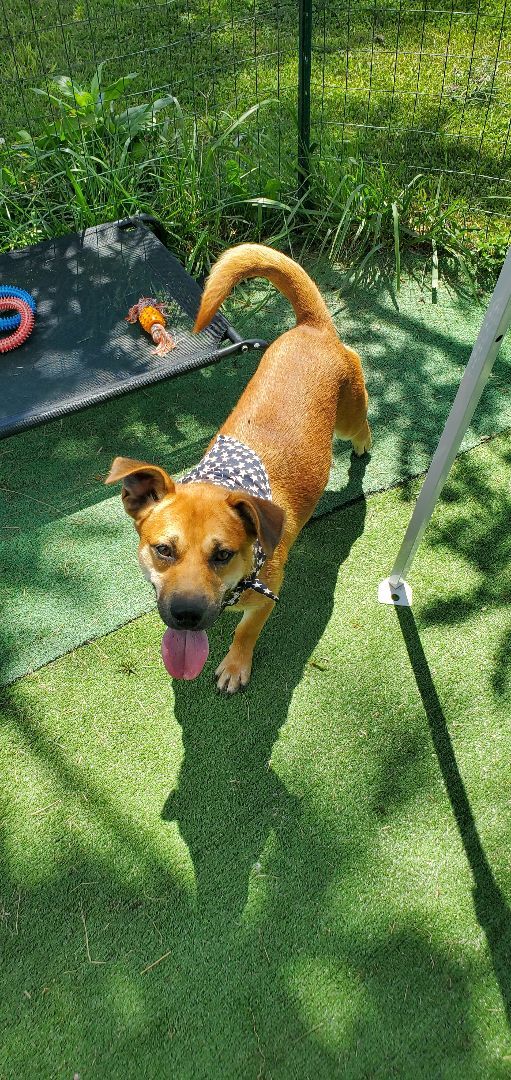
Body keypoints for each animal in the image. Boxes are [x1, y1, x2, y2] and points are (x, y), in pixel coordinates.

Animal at [106, 247, 369, 691]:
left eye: (223, 554)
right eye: (163, 550)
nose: (187, 615)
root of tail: (312, 327)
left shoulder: (266, 597)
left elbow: (246, 631)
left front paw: (234, 666)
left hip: (350, 413)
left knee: (362, 424)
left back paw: (364, 446)